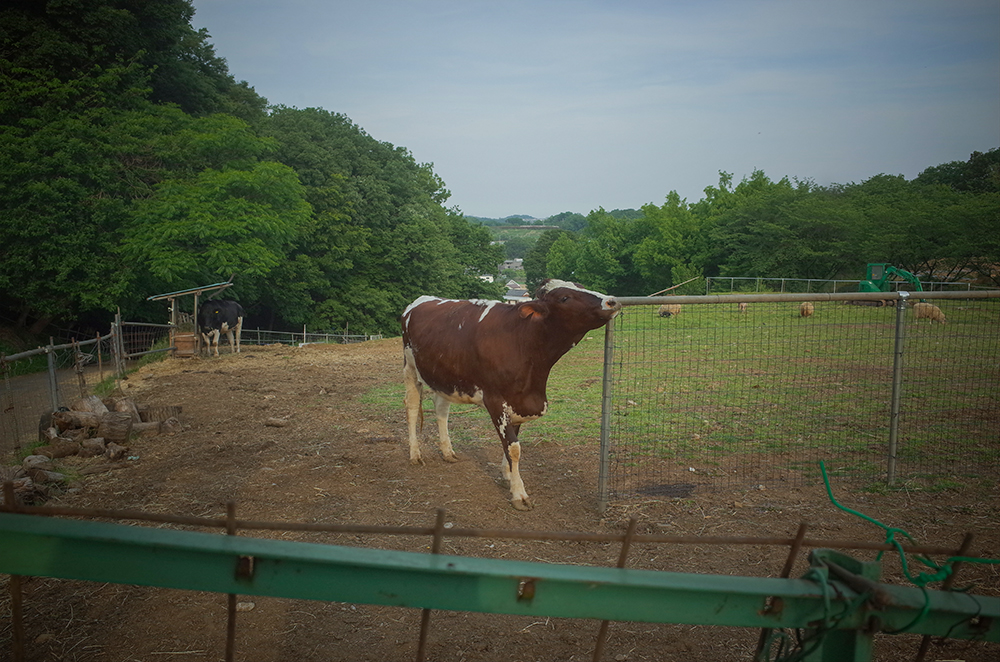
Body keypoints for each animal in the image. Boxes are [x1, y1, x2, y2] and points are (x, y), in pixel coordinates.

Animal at [401, 279, 621, 510]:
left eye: (580, 285)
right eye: (564, 298)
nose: (612, 301)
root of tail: (420, 300)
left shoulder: (519, 401)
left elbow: (511, 442)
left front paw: (507, 474)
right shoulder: (496, 401)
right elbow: (513, 447)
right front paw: (519, 493)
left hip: (444, 376)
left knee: (441, 409)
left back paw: (447, 452)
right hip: (410, 368)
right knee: (412, 407)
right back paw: (415, 454)